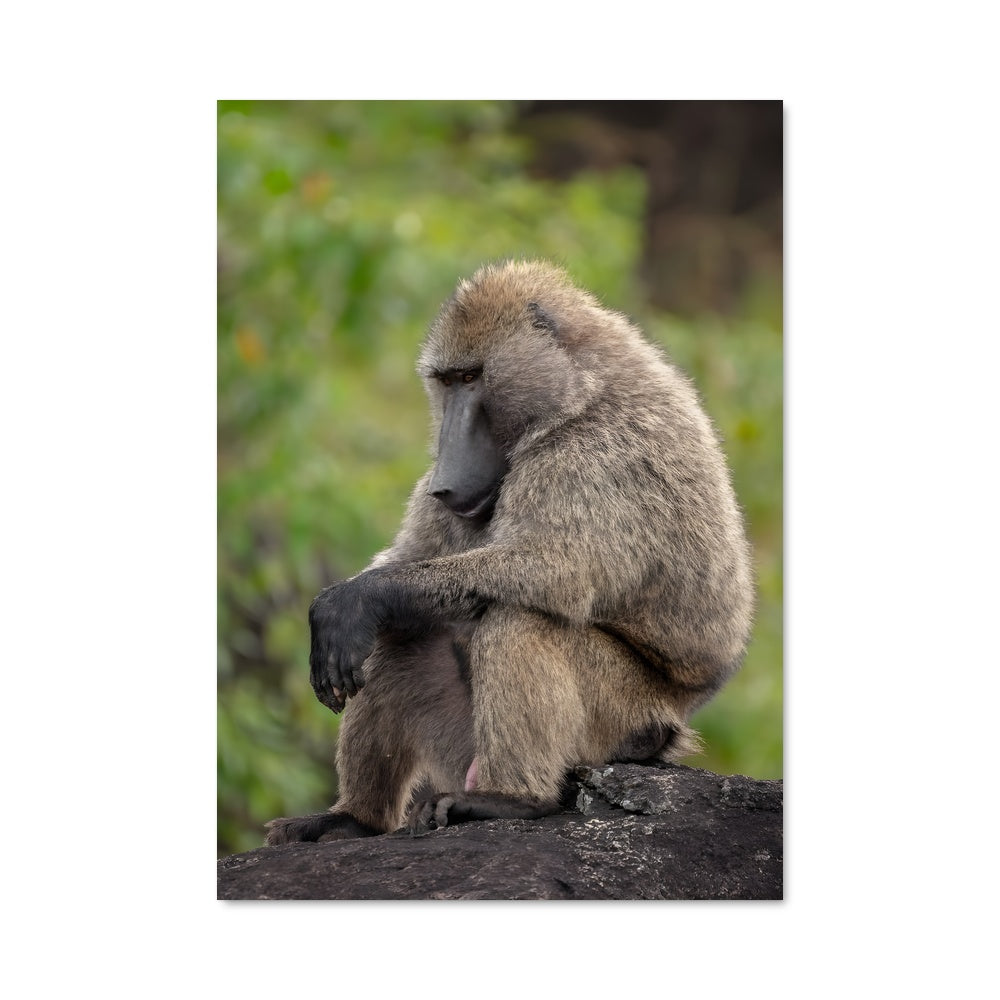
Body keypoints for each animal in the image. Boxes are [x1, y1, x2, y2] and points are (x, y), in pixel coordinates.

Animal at [264, 259, 753, 844]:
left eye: (473, 378)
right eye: (447, 380)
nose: (444, 479)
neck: (581, 388)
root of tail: (671, 729)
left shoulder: (597, 456)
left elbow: (555, 571)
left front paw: (353, 601)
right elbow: (406, 559)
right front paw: (339, 608)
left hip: (621, 719)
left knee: (519, 617)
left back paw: (512, 800)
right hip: (463, 745)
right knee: (400, 634)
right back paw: (354, 819)